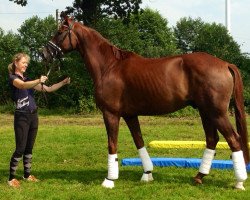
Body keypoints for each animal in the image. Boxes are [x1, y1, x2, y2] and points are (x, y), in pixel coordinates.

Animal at [42, 16, 249, 190]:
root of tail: (225, 64)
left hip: (216, 113)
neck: (109, 66)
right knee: (212, 140)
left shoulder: (110, 114)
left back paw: (239, 181)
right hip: (205, 112)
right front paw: (147, 173)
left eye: (60, 31)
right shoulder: (130, 115)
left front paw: (109, 179)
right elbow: (139, 141)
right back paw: (199, 176)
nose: (44, 53)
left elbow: (112, 144)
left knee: (234, 139)